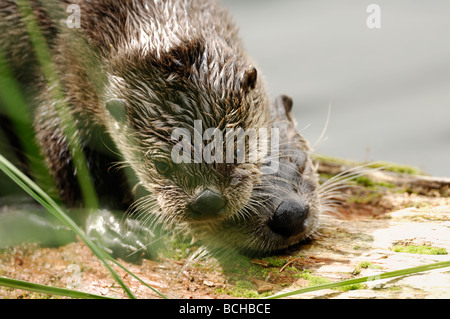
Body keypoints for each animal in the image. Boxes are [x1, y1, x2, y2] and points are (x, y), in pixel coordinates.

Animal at [0, 0, 320, 262]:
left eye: (239, 149)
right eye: (161, 165)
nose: (208, 199)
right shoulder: (61, 68)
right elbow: (67, 148)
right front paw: (114, 226)